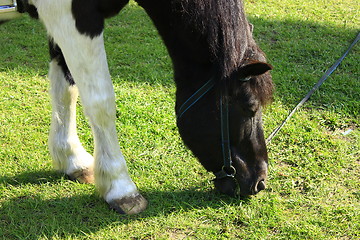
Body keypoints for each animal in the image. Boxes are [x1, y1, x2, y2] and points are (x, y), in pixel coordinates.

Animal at [1, 0, 272, 214]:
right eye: (250, 107)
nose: (259, 181)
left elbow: (66, 89)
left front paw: (72, 159)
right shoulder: (74, 19)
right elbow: (100, 102)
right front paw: (121, 188)